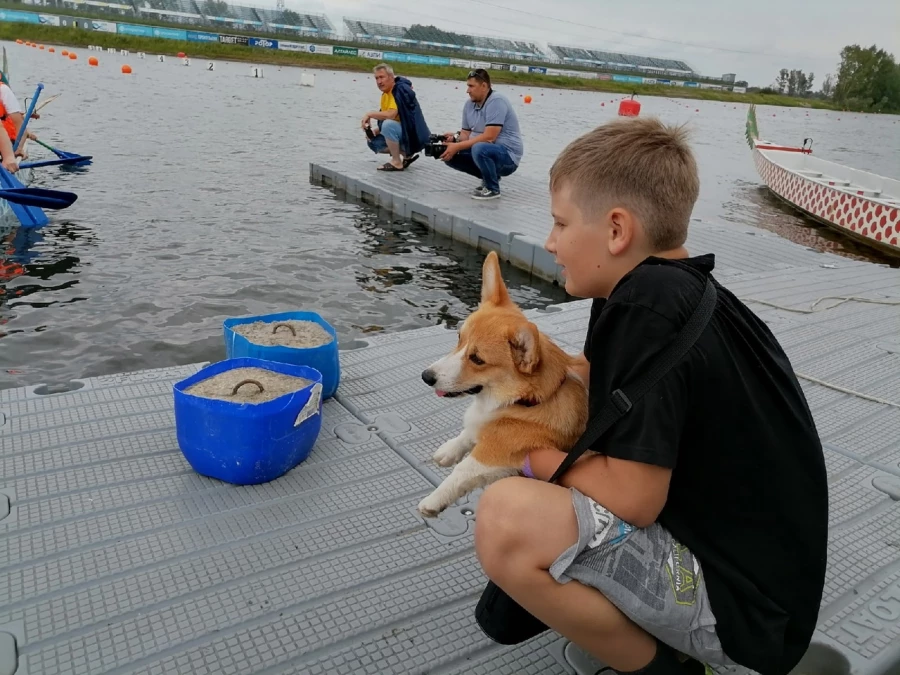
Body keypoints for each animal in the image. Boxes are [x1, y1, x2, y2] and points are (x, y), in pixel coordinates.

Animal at [416, 251, 588, 520]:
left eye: (477, 359)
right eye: (459, 338)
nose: (426, 376)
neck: (524, 401)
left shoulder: (494, 453)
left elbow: (461, 472)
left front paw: (433, 501)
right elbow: (467, 434)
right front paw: (448, 450)